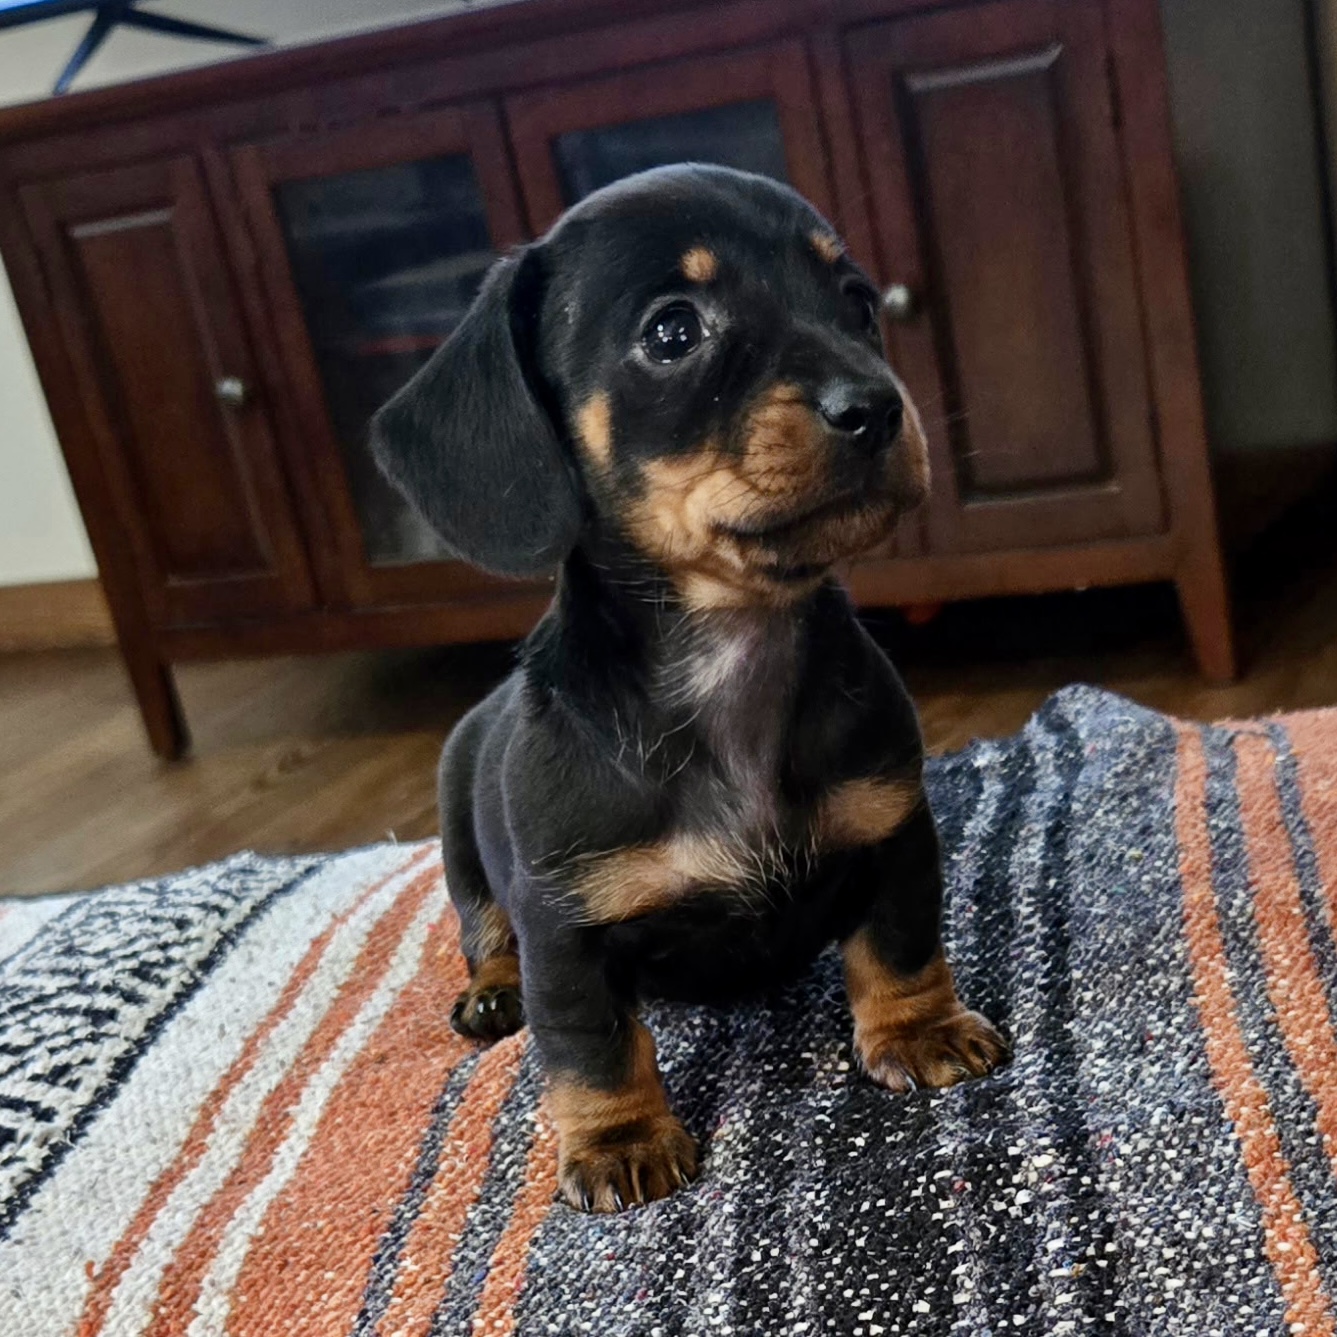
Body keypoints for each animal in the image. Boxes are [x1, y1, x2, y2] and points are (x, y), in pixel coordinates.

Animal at [371, 164, 1008, 1214]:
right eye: (673, 331)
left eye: (855, 302)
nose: (878, 407)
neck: (731, 653)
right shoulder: (566, 925)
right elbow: (590, 1043)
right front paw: (620, 1139)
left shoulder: (893, 830)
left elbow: (901, 942)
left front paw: (917, 1029)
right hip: (463, 852)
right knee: (483, 928)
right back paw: (492, 988)